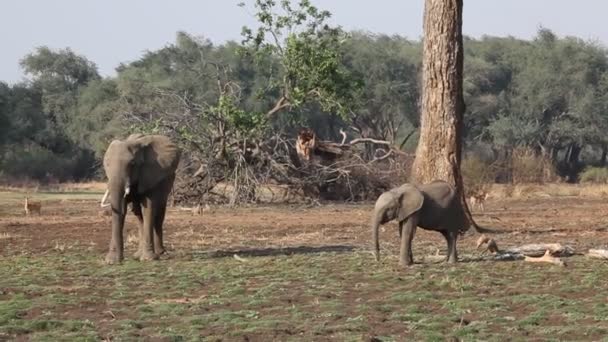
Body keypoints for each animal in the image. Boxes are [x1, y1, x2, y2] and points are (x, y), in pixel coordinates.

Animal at [100, 134, 179, 264]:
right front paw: (112, 261)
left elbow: (148, 209)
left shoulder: (151, 174)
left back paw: (161, 254)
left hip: (168, 182)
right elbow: (122, 209)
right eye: (106, 164)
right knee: (138, 214)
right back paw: (137, 255)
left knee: (158, 214)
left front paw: (148, 258)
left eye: (132, 163)